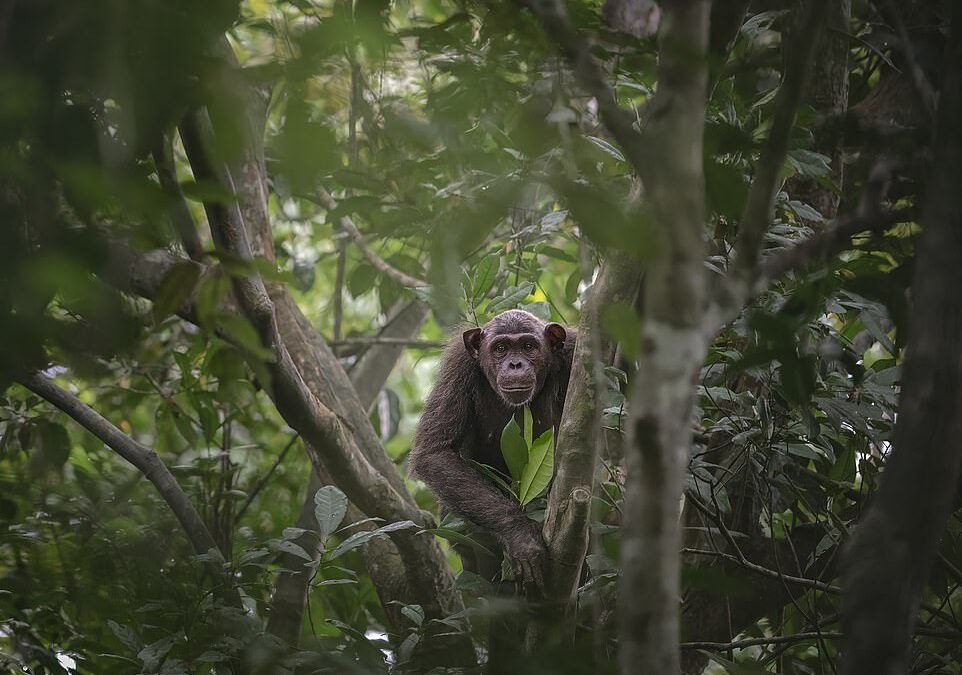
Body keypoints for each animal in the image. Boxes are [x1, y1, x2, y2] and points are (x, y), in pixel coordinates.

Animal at [408, 310, 572, 592]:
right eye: (500, 348)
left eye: (528, 346)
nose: (515, 364)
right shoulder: (458, 365)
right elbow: (434, 451)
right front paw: (521, 536)